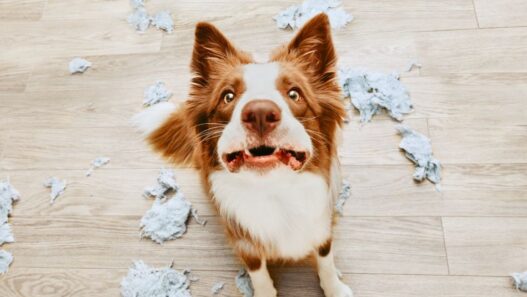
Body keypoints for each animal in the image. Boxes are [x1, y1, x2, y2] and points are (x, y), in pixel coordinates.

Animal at [134, 13, 352, 296]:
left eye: (294, 93)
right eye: (228, 96)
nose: (260, 113)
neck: (275, 192)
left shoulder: (322, 226)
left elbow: (325, 259)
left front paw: (335, 288)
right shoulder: (243, 242)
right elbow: (258, 272)